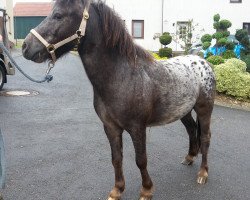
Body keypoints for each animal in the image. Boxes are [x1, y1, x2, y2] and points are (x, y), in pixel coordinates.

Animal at [22, 0, 216, 199]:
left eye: (58, 15)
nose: (26, 46)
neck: (121, 76)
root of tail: (204, 63)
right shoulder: (111, 127)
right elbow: (116, 158)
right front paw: (117, 190)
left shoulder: (137, 128)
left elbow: (141, 160)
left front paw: (146, 190)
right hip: (184, 111)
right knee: (191, 130)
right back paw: (189, 158)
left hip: (204, 109)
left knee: (205, 137)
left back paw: (203, 173)